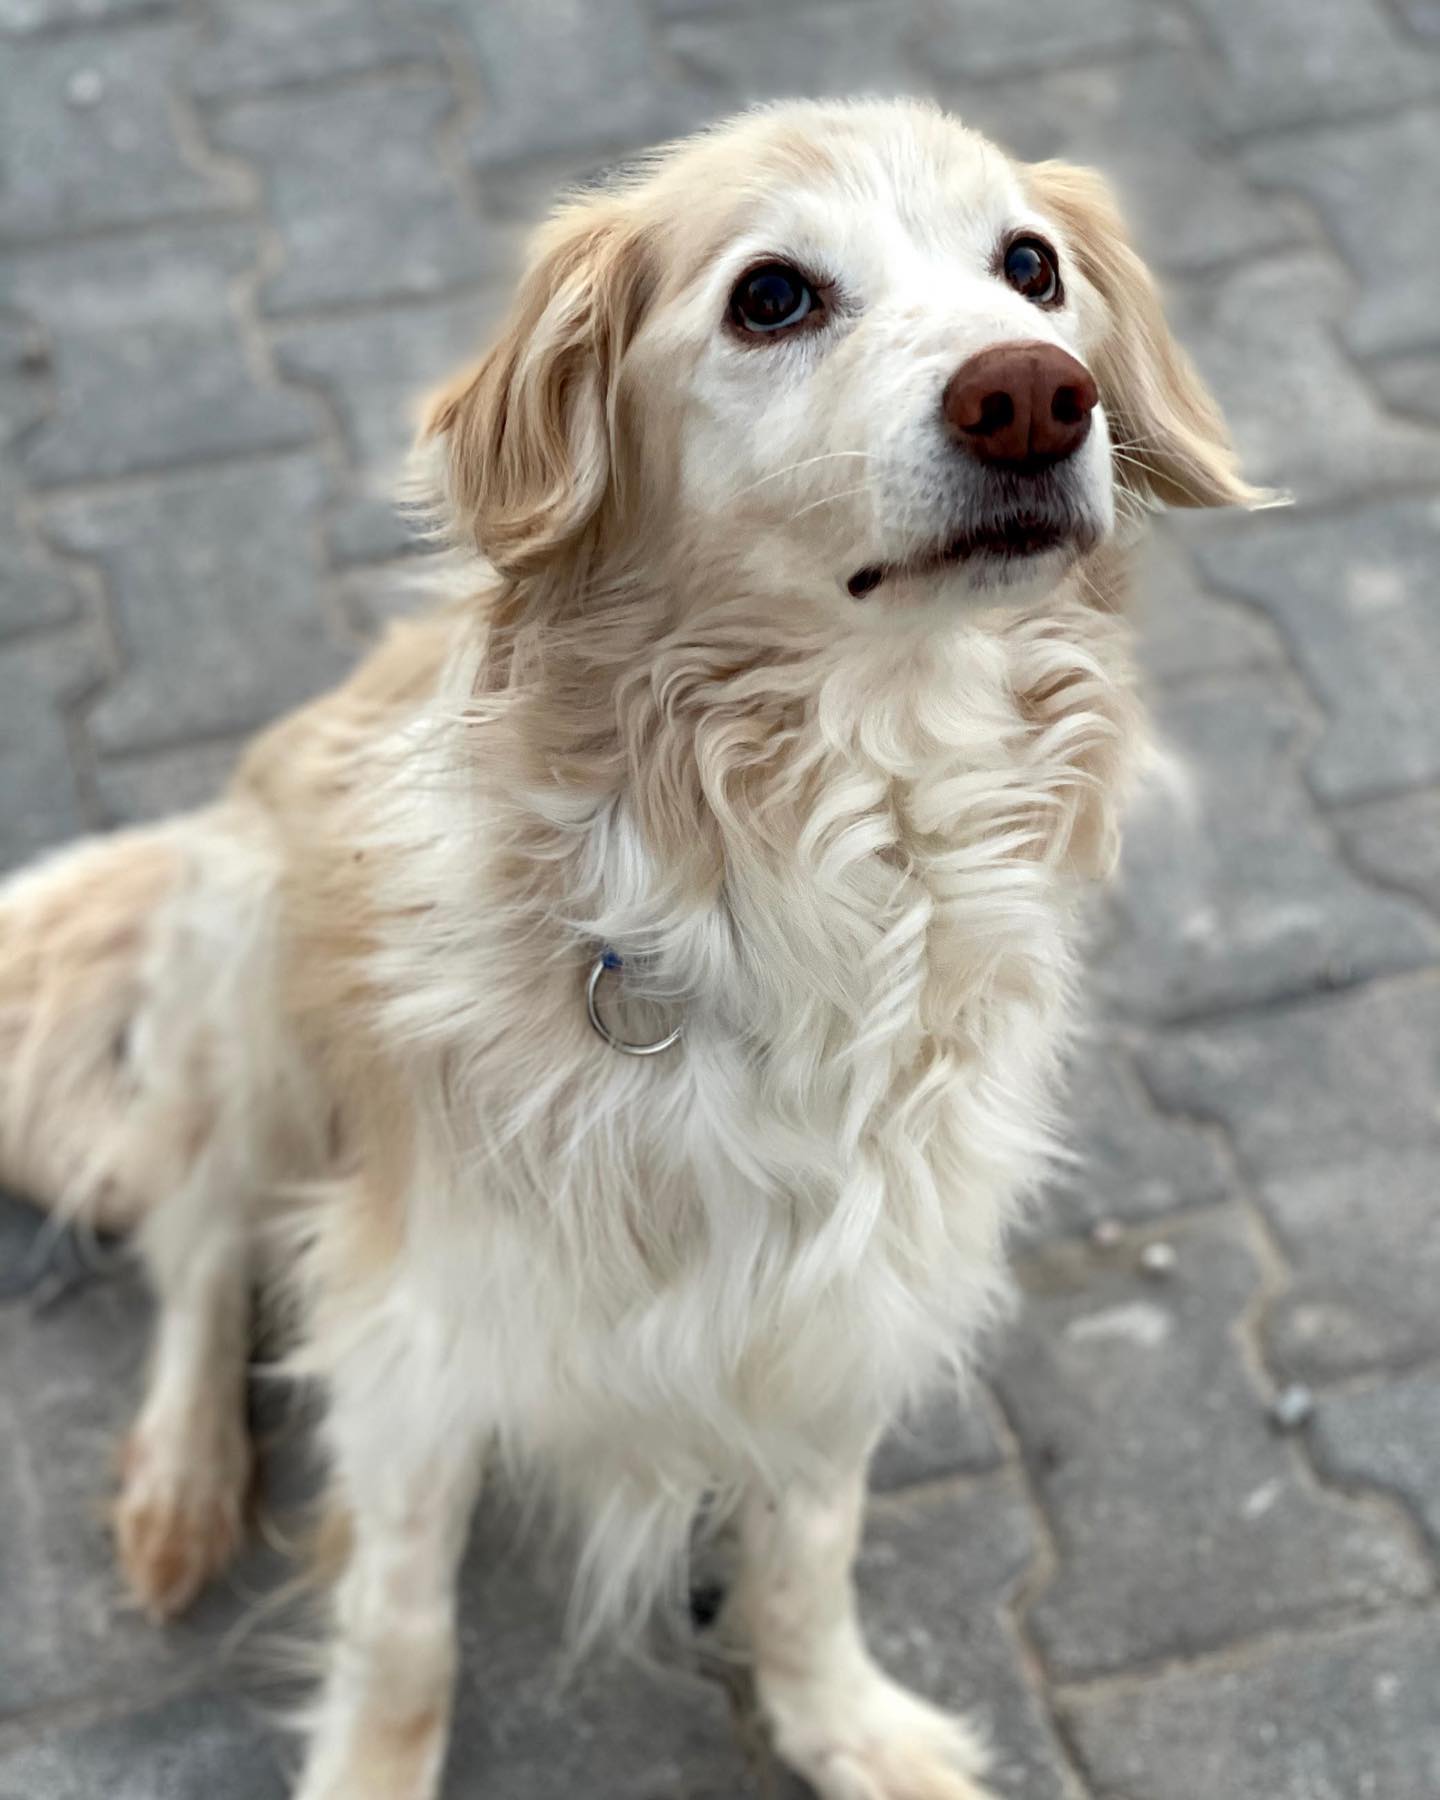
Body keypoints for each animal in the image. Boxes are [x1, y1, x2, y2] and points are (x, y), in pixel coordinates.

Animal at [0, 98, 1252, 1800]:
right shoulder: (413, 1329)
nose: (1034, 398)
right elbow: (403, 1629)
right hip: (249, 986)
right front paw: (372, 1766)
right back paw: (185, 1477)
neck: (819, 846)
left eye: (1031, 267)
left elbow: (809, 1555)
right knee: (194, 1249)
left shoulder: (844, 1304)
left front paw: (841, 1722)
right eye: (771, 296)